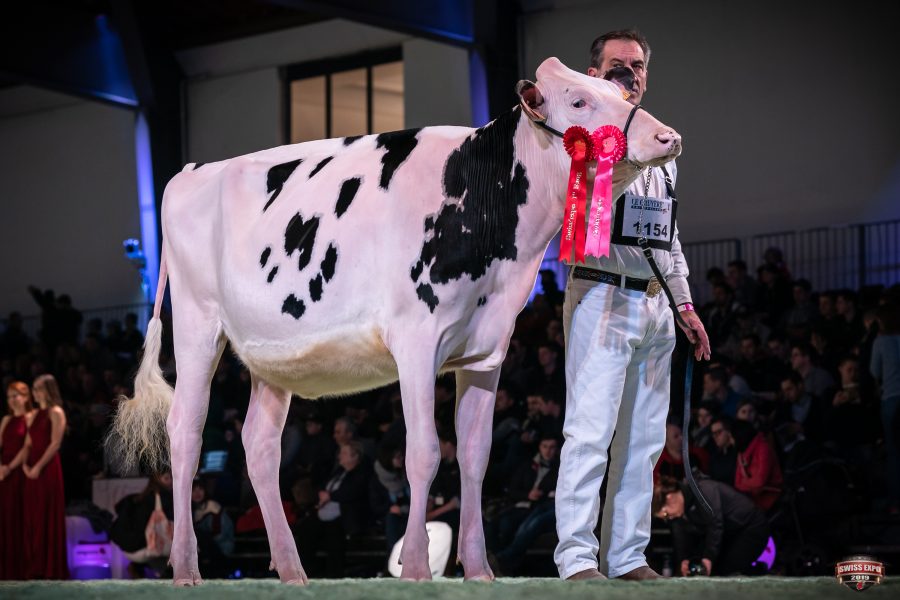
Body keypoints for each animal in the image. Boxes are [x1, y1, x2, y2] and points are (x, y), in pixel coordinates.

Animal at [111, 57, 681, 585]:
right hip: (196, 325)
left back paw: (293, 571)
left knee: (259, 445)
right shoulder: (416, 342)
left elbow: (474, 456)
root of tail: (192, 171)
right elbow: (424, 452)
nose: (668, 136)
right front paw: (417, 569)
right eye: (579, 101)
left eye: (618, 92)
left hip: (272, 356)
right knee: (185, 431)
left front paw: (478, 571)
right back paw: (186, 568)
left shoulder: (487, 351)